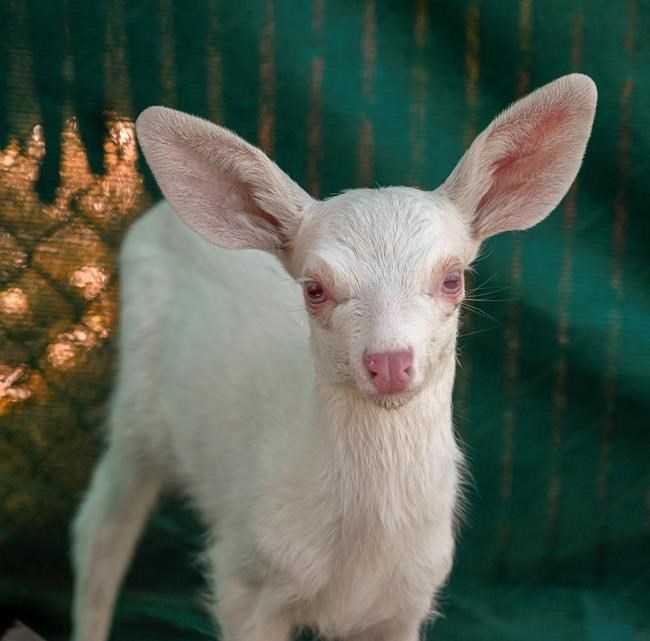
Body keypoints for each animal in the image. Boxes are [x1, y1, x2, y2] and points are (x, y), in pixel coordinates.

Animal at [70, 74, 596, 641]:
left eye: (453, 278)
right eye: (314, 289)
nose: (389, 362)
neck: (357, 560)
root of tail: (158, 214)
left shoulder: (410, 598)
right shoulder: (244, 577)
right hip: (137, 407)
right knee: (100, 528)